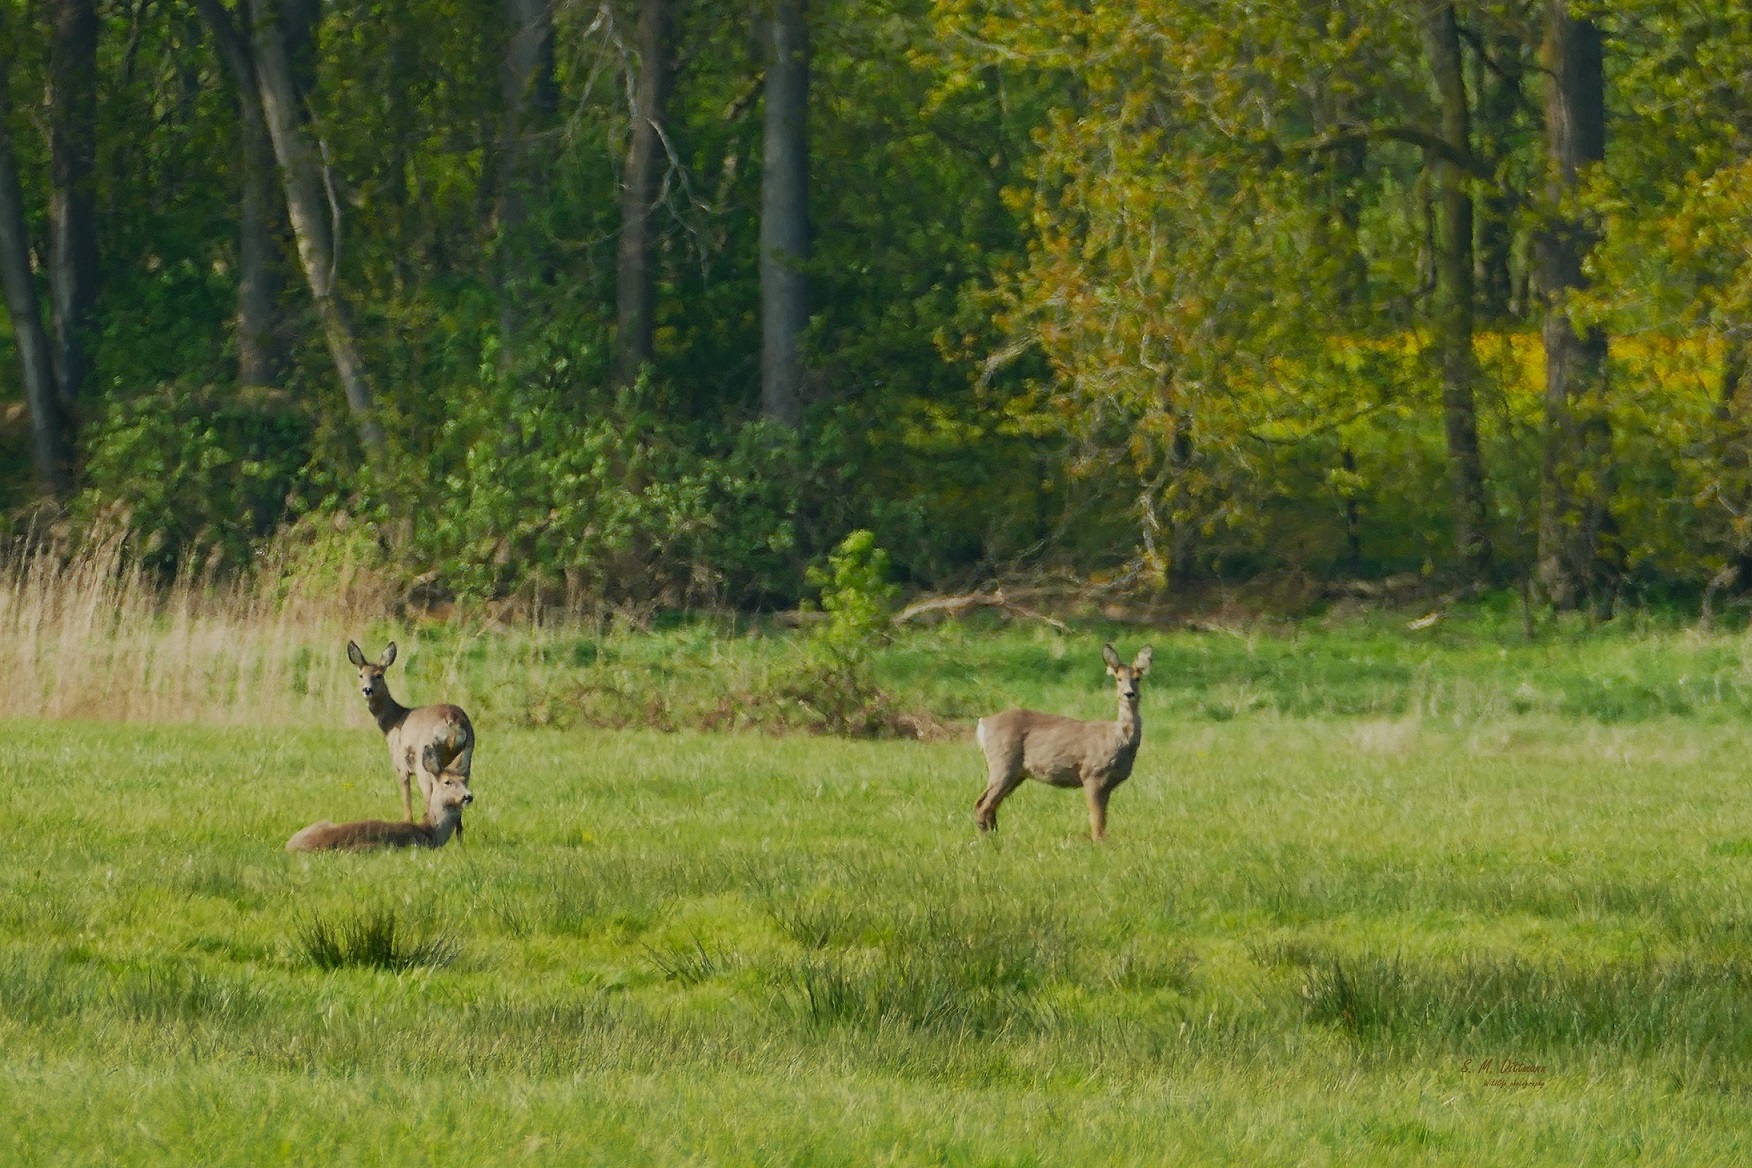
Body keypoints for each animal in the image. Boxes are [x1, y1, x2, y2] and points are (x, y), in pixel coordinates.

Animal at [348, 640, 476, 840]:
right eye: (361, 675)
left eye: (379, 675)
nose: (367, 690)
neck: (393, 722)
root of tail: (451, 720)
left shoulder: (401, 767)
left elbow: (406, 802)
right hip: (466, 754)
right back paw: (459, 838)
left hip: (424, 762)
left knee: (430, 795)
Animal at [974, 640, 1149, 840]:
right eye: (1119, 678)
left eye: (1137, 678)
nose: (1129, 694)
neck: (1118, 738)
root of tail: (983, 723)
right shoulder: (1092, 773)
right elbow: (1096, 820)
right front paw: (1099, 843)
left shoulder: (1107, 783)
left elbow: (1102, 819)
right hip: (1003, 763)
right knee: (981, 805)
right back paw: (987, 839)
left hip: (1017, 773)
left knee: (990, 806)